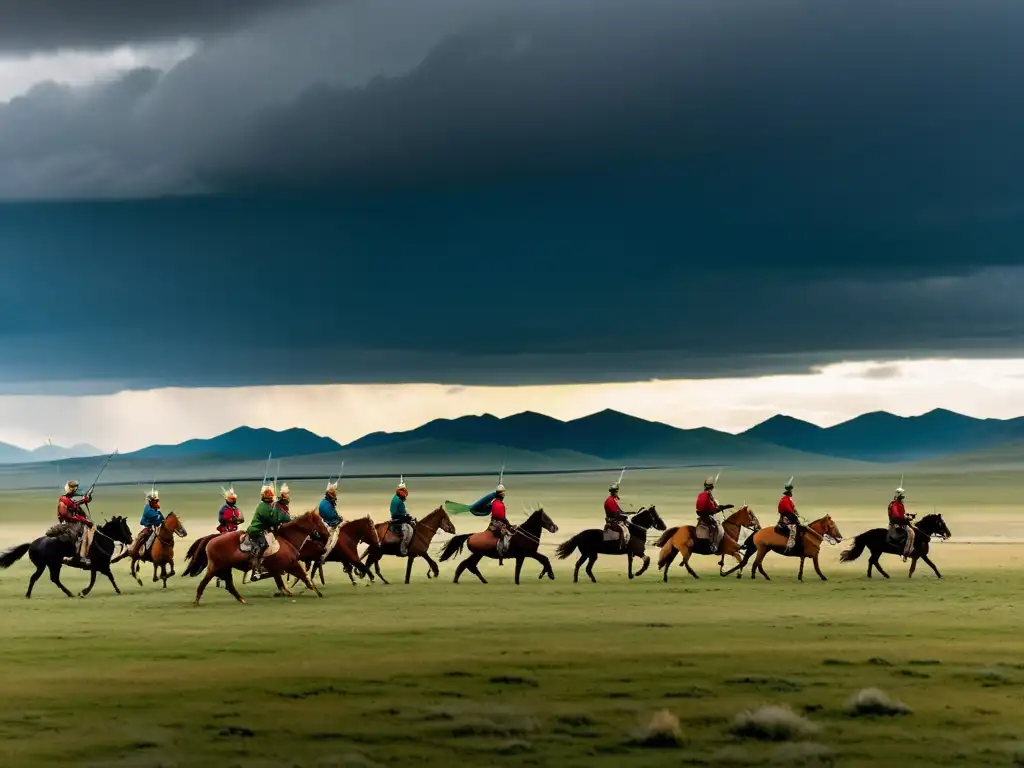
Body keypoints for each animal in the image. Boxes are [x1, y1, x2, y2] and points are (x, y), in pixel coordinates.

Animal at [0, 518, 134, 602]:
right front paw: (118, 590)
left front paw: (83, 592)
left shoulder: (95, 567)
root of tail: (32, 544)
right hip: (53, 565)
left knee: (39, 578)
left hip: (45, 566)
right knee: (52, 578)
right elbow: (108, 577)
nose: (131, 539)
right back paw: (69, 593)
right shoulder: (103, 565)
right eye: (125, 527)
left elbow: (94, 579)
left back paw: (29, 595)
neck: (102, 539)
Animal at [182, 512, 329, 606]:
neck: (286, 539)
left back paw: (242, 600)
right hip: (215, 567)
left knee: (230, 586)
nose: (327, 534)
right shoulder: (291, 565)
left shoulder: (278, 569)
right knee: (204, 584)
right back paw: (196, 601)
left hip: (226, 568)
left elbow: (282, 583)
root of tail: (213, 538)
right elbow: (305, 578)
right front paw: (318, 593)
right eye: (319, 521)